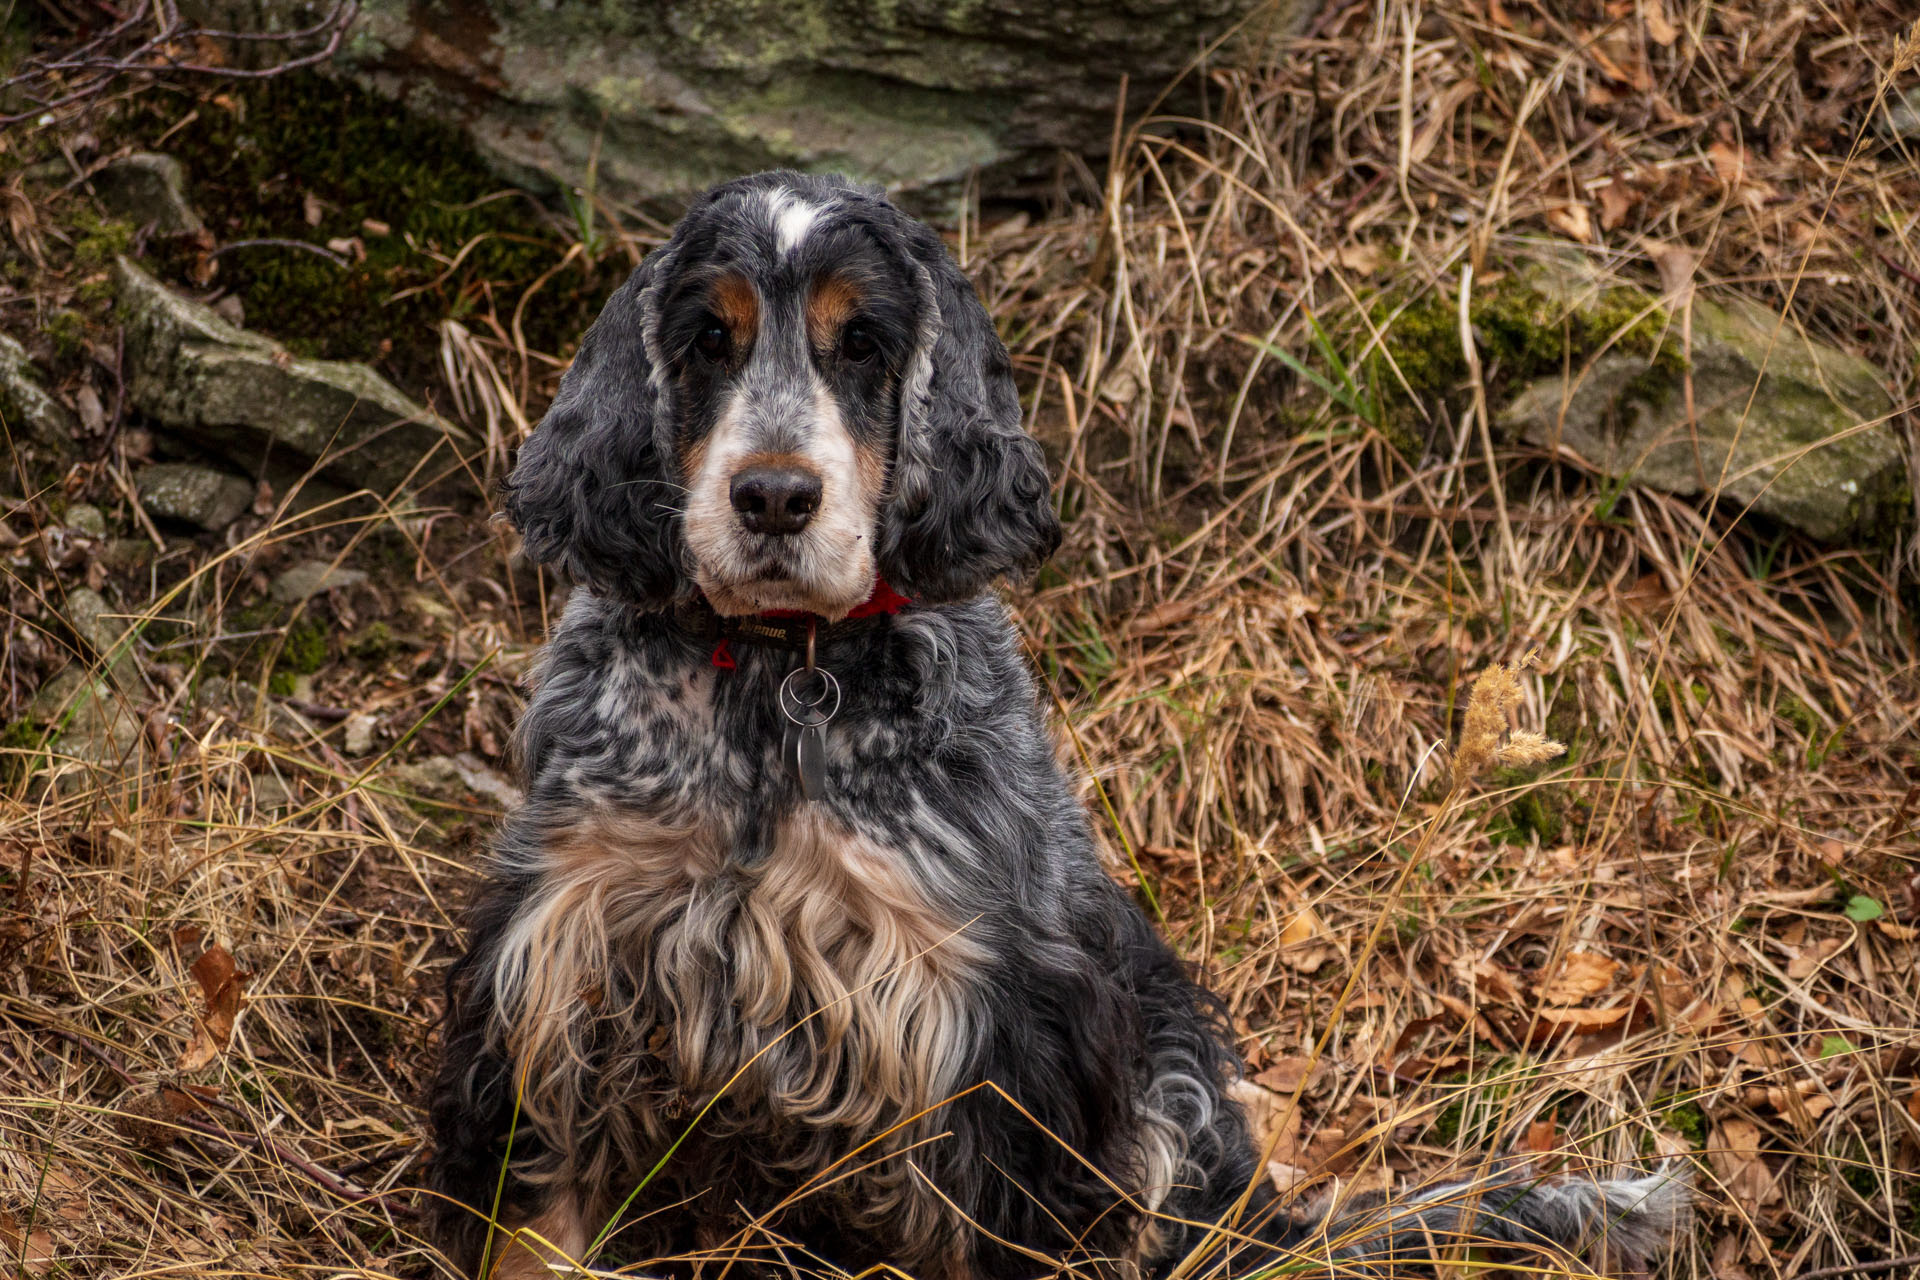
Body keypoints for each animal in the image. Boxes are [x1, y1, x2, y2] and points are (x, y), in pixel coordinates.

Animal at [420, 172, 1681, 1280]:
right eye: (705, 339)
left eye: (863, 343)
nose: (773, 497)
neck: (777, 681)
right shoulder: (562, 944)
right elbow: (539, 1206)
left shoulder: (988, 1019)